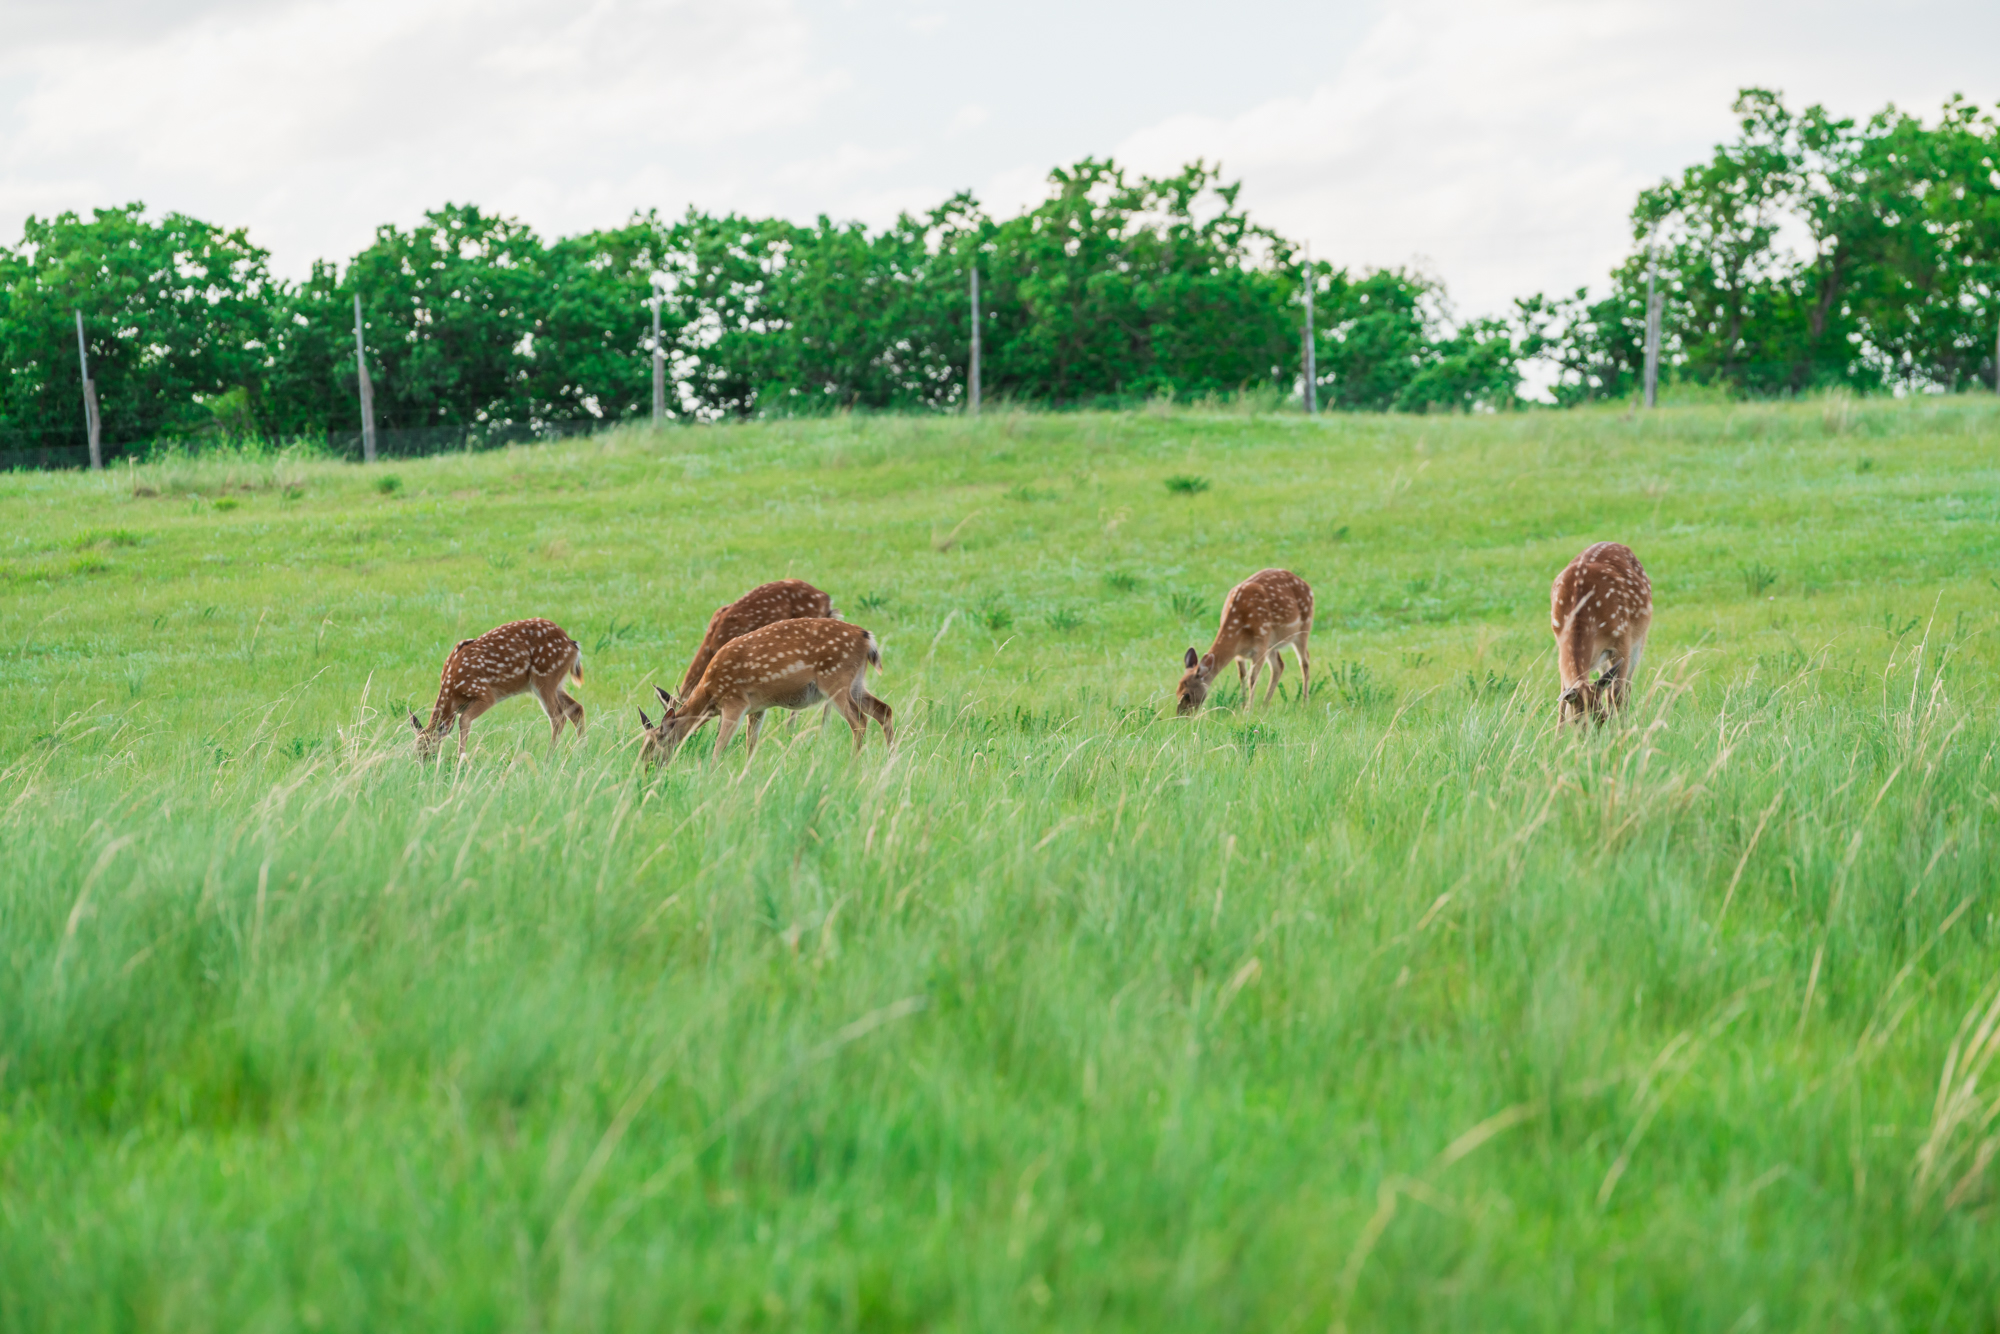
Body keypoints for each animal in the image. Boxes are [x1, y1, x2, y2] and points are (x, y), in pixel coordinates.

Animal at [410, 620, 584, 760]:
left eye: (429, 750)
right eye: (414, 750)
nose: (422, 766)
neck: (453, 692)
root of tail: (572, 644)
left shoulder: (484, 694)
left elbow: (464, 720)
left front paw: (461, 759)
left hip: (545, 676)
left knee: (558, 717)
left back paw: (548, 758)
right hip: (555, 683)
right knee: (576, 709)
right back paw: (583, 753)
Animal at [640, 616, 892, 760]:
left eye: (656, 741)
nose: (646, 767)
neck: (710, 695)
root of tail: (867, 638)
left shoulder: (735, 700)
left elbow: (719, 746)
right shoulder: (757, 707)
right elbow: (751, 744)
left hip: (835, 678)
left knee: (859, 721)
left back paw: (853, 765)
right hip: (856, 682)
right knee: (884, 710)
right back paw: (890, 759)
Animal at [1168, 568, 1312, 716]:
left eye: (1187, 694)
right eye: (1176, 691)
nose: (1181, 716)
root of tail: (1306, 584)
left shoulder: (1260, 645)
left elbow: (1252, 678)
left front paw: (1249, 710)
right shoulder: (1240, 654)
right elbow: (1242, 676)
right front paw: (1242, 707)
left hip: (1303, 627)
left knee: (1304, 661)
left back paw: (1304, 703)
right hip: (1272, 644)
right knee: (1279, 665)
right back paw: (1265, 706)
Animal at [1544, 540, 1656, 724]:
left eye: (1601, 717)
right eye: (1576, 719)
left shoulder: (1622, 638)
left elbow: (1618, 695)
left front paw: (1621, 731)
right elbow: (1561, 706)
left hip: (1638, 640)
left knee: (1625, 688)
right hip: (1603, 659)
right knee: (1609, 690)